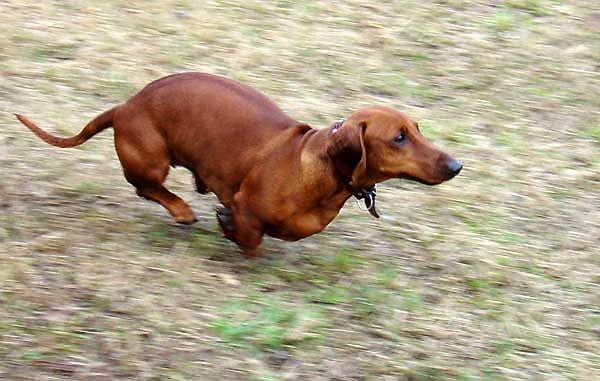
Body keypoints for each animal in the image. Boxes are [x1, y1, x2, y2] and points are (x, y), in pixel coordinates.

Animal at [17, 72, 460, 255]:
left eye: (417, 129)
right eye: (398, 138)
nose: (457, 165)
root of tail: (125, 106)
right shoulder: (248, 206)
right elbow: (250, 238)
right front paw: (227, 225)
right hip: (152, 161)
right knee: (147, 187)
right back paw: (181, 210)